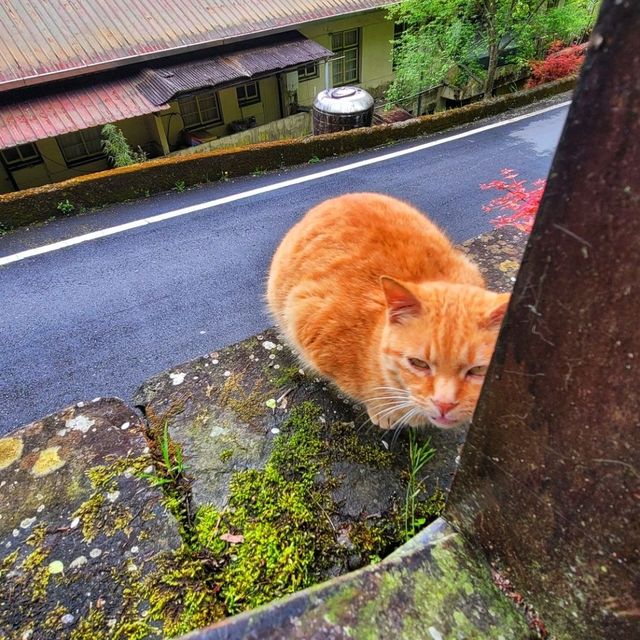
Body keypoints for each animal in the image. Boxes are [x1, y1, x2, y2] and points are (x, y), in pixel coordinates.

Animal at [266, 192, 510, 428]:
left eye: (478, 370)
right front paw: (382, 411)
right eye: (418, 363)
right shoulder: (307, 315)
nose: (444, 404)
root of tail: (337, 198)